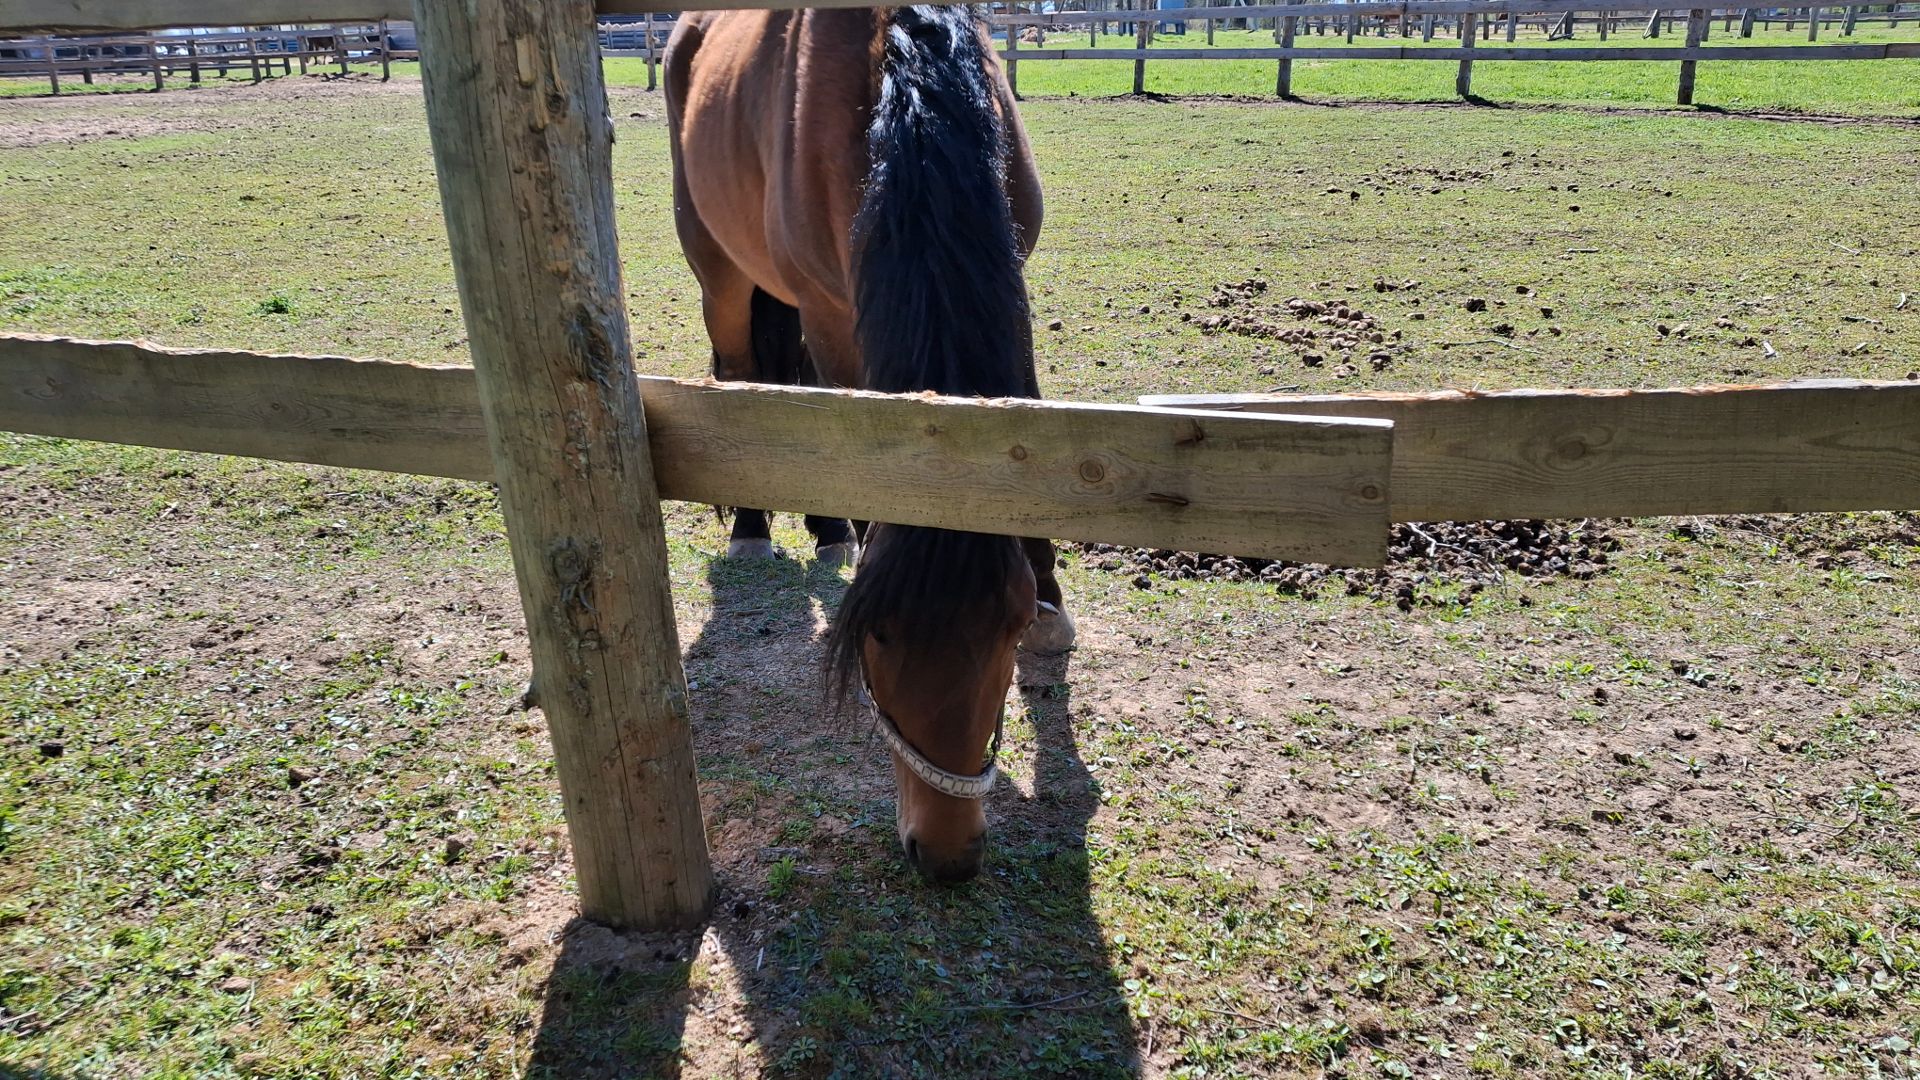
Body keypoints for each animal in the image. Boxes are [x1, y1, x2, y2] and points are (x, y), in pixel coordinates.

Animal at [664, 5, 1076, 883]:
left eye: (1008, 625)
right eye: (875, 636)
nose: (946, 854)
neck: (905, 77)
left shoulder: (1010, 271)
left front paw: (1055, 599)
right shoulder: (829, 307)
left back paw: (823, 531)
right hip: (721, 269)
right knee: (749, 370)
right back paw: (756, 528)